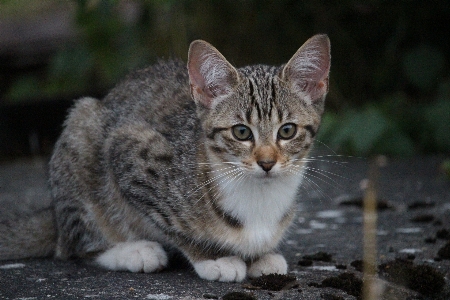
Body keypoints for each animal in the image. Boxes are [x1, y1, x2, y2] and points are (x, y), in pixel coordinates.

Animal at [0, 34, 330, 282]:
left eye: (287, 130)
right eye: (241, 132)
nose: (266, 162)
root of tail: (54, 214)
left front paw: (260, 255)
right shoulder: (130, 151)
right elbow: (171, 225)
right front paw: (214, 258)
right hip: (81, 129)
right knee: (73, 245)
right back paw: (133, 251)